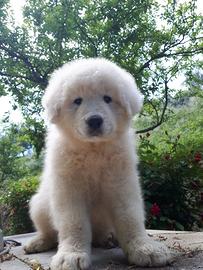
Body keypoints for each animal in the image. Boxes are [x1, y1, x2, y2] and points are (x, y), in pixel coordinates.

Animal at [24, 58, 171, 268]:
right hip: (39, 204)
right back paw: (38, 242)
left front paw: (145, 248)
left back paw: (108, 238)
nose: (94, 120)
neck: (93, 150)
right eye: (77, 101)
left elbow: (130, 217)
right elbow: (73, 224)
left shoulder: (122, 182)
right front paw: (71, 255)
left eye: (107, 98)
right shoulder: (69, 188)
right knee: (48, 231)